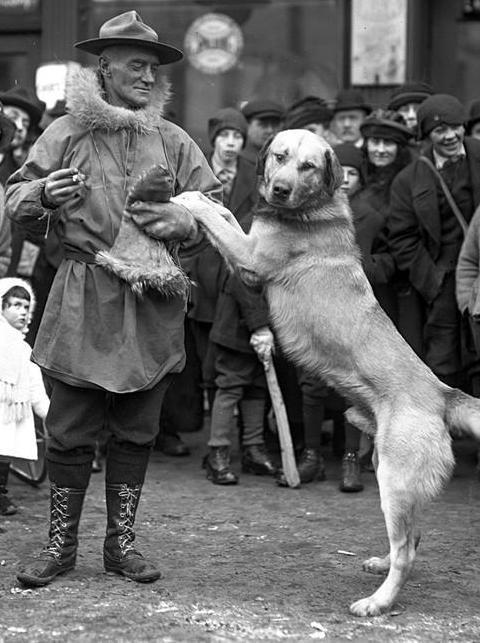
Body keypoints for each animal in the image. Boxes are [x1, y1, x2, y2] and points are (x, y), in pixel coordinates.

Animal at [170, 128, 480, 616]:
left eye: (308, 167)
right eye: (279, 157)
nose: (279, 190)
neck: (309, 211)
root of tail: (443, 392)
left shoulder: (249, 257)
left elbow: (216, 219)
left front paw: (188, 197)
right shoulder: (248, 242)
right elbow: (224, 212)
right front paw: (204, 194)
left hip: (394, 480)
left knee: (407, 553)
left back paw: (377, 603)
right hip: (388, 470)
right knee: (412, 538)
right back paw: (379, 564)